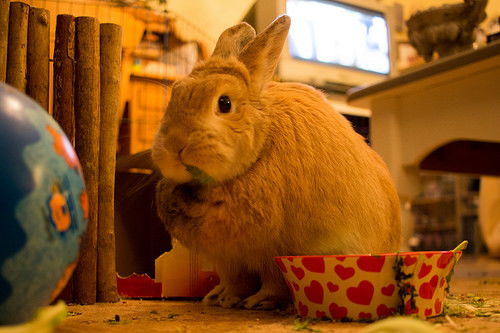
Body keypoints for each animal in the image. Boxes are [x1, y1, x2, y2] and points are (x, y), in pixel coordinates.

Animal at [150, 15, 400, 310]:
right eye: (176, 93)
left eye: (224, 103)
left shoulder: (272, 251)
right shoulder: (228, 260)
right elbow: (234, 281)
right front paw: (221, 298)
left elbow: (273, 283)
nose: (174, 147)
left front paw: (257, 302)